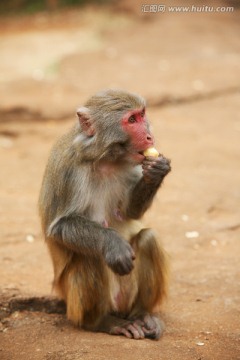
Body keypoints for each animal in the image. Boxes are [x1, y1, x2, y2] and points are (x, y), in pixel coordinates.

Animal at [38, 88, 172, 338]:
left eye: (142, 115)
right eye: (131, 120)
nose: (149, 137)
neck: (106, 158)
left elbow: (131, 211)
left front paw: (156, 172)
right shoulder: (70, 170)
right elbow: (60, 226)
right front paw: (114, 245)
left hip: (127, 298)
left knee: (148, 239)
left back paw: (142, 315)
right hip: (75, 304)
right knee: (89, 255)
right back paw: (102, 322)